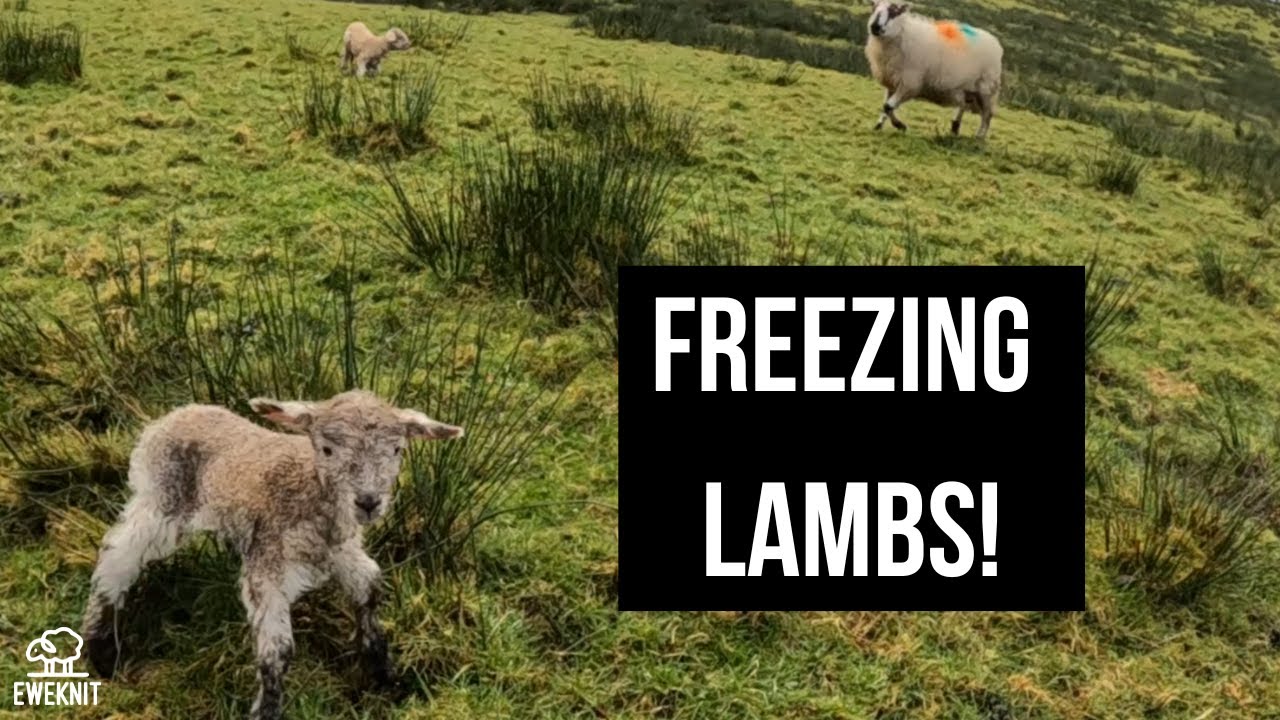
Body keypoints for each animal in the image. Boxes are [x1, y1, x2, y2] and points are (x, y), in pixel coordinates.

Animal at [79, 390, 463, 720]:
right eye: (327, 449)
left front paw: (384, 674)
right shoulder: (267, 566)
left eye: (397, 449)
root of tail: (174, 415)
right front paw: (267, 710)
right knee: (117, 555)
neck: (311, 489)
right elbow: (277, 650)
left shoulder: (339, 553)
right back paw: (99, 648)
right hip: (162, 498)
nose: (368, 502)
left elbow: (371, 586)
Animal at [863, 1, 1004, 138]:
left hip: (986, 89)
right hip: (967, 88)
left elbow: (888, 106)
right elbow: (886, 106)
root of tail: (996, 43)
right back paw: (955, 127)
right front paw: (885, 125)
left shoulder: (910, 84)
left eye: (893, 12)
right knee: (964, 105)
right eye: (873, 8)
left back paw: (979, 136)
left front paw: (896, 125)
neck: (903, 34)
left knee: (987, 115)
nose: (875, 27)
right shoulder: (892, 82)